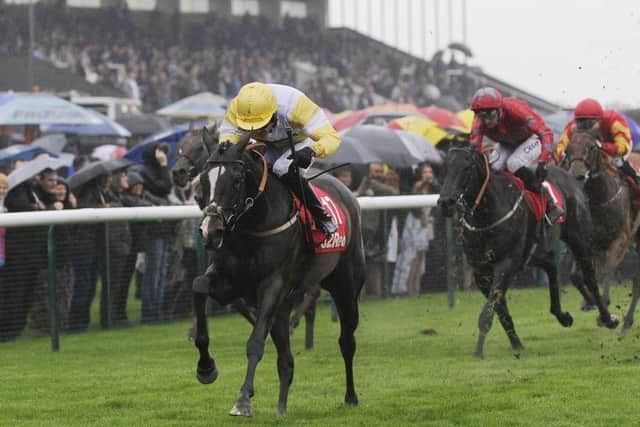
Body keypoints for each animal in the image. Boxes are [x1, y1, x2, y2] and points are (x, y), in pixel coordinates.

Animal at [192, 138, 364, 418]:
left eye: (237, 181)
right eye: (204, 181)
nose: (211, 231)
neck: (254, 224)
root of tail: (346, 191)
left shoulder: (273, 285)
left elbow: (255, 342)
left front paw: (243, 400)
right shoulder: (230, 284)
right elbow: (198, 287)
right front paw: (206, 368)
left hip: (346, 287)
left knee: (347, 341)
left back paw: (350, 396)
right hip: (284, 305)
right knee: (286, 359)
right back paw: (281, 408)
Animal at [438, 147, 616, 358]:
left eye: (467, 168)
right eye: (445, 168)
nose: (445, 202)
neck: (488, 215)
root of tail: (569, 175)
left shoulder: (506, 264)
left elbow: (488, 311)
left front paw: (479, 351)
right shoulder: (481, 271)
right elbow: (499, 308)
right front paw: (516, 344)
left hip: (579, 238)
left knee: (589, 277)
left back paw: (607, 318)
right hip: (534, 252)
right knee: (551, 264)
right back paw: (562, 316)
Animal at [564, 130, 640, 332]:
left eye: (591, 147)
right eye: (567, 149)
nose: (578, 175)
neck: (600, 197)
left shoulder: (621, 238)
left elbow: (608, 269)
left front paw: (605, 306)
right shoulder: (586, 241)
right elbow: (575, 276)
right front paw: (590, 302)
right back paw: (627, 321)